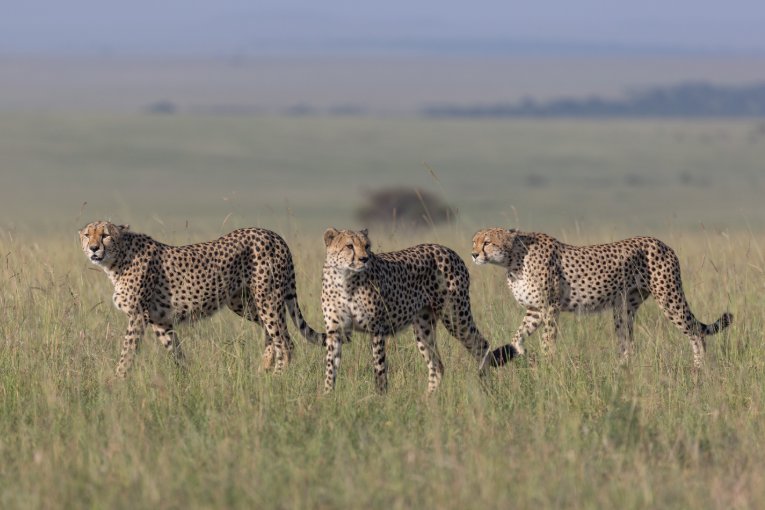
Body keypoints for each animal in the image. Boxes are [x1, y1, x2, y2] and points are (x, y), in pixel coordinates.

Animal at [79, 220, 324, 378]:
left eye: (105, 235)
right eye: (87, 235)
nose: (93, 248)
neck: (118, 259)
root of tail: (273, 234)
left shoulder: (138, 316)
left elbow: (127, 351)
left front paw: (117, 380)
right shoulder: (160, 320)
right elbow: (176, 351)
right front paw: (186, 379)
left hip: (268, 298)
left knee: (286, 342)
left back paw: (278, 378)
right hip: (242, 302)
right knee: (271, 333)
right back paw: (263, 370)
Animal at [316, 228, 512, 394]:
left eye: (366, 246)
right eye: (349, 246)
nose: (364, 259)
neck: (345, 279)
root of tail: (446, 249)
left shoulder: (376, 329)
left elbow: (379, 367)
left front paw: (380, 397)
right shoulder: (335, 331)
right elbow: (330, 367)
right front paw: (327, 396)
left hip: (455, 317)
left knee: (481, 345)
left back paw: (486, 387)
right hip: (423, 327)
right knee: (437, 365)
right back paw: (428, 400)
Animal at [472, 229, 728, 368]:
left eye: (487, 242)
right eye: (474, 241)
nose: (473, 254)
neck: (514, 259)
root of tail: (663, 243)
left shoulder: (550, 308)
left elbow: (547, 339)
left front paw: (547, 365)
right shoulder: (535, 310)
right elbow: (518, 334)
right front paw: (520, 351)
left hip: (668, 298)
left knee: (696, 334)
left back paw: (698, 370)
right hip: (624, 308)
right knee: (627, 343)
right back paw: (621, 370)